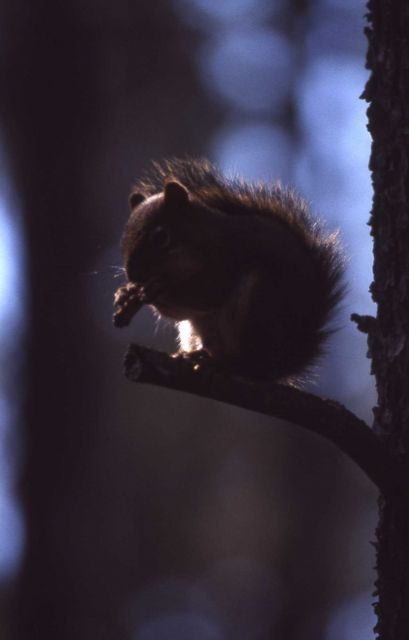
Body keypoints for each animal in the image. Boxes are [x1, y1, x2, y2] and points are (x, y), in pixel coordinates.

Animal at [112, 158, 344, 382]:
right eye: (123, 239)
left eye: (161, 237)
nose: (134, 275)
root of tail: (279, 366)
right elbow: (179, 312)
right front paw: (125, 294)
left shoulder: (226, 261)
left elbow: (205, 294)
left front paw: (156, 290)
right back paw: (197, 355)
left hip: (257, 303)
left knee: (248, 365)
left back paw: (224, 363)